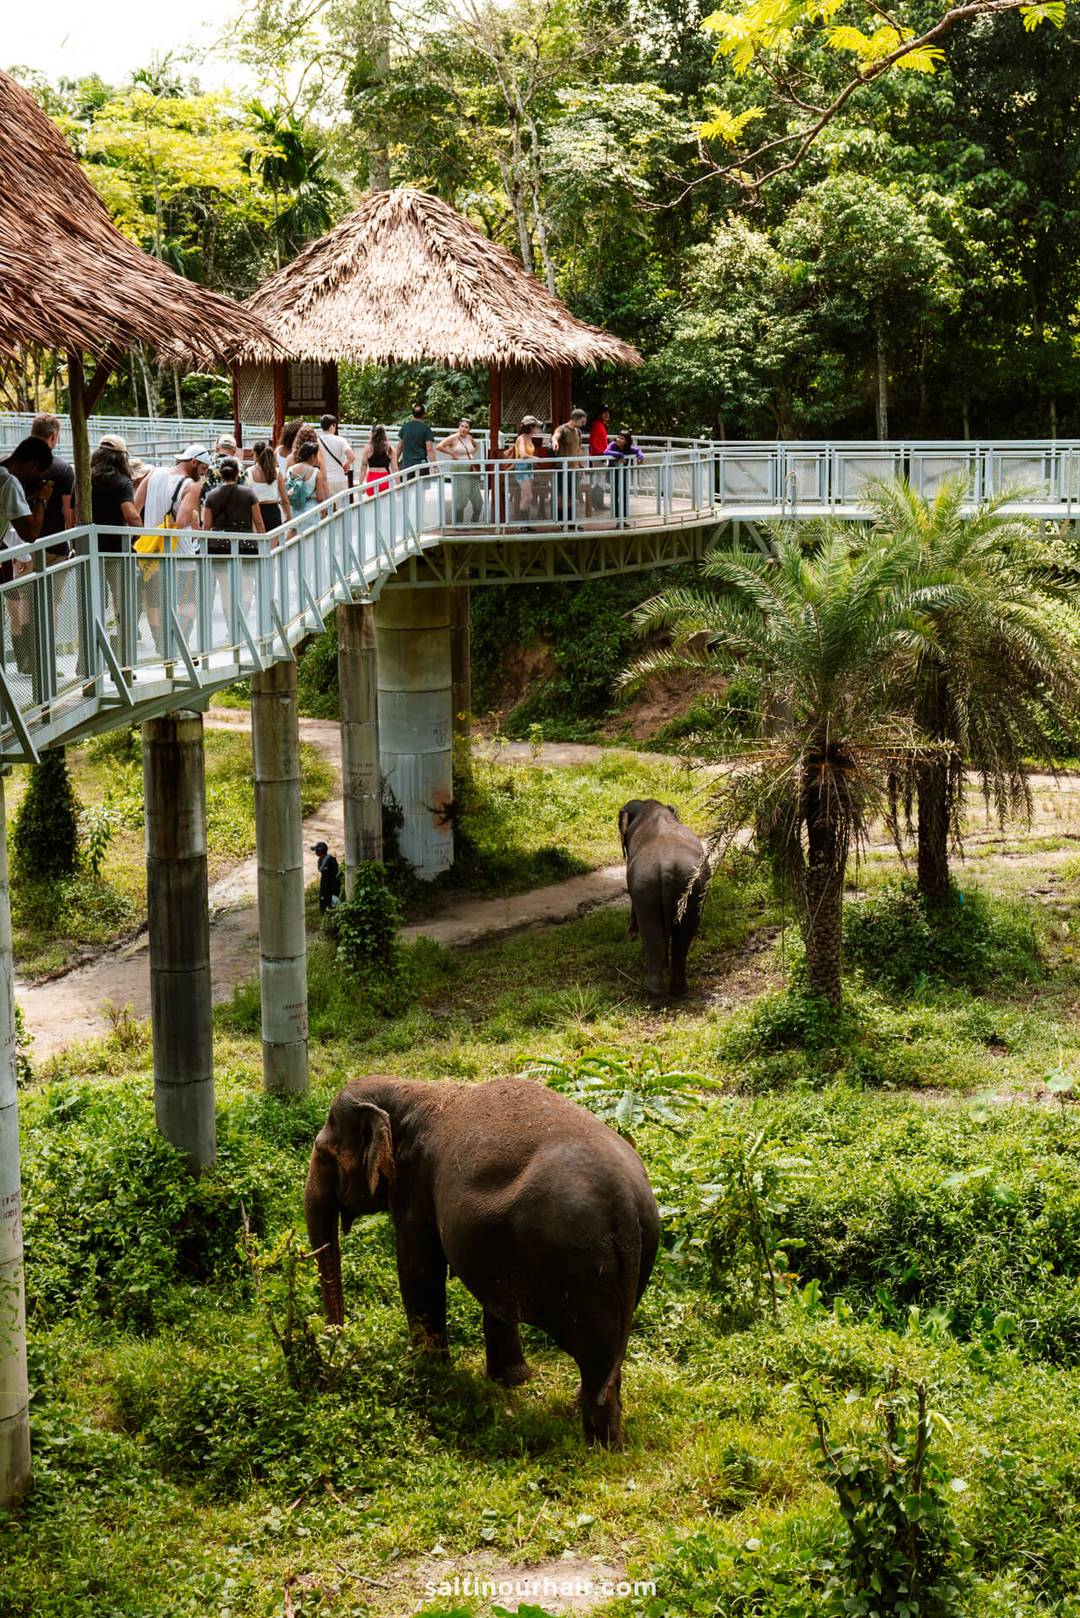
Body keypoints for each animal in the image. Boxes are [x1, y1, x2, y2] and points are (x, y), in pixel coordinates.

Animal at [305, 1075, 660, 1448]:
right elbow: (495, 1293)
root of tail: (624, 1200)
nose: (336, 1339)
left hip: (582, 1265)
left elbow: (419, 1269)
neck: (410, 1090)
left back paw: (601, 1447)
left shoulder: (415, 1184)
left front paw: (429, 1375)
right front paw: (511, 1380)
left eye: (324, 1155)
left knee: (596, 1355)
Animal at [619, 799, 710, 997]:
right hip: (687, 886)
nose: (629, 934)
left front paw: (631, 934)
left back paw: (655, 990)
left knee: (653, 934)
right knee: (682, 937)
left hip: (644, 885)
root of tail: (667, 867)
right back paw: (675, 989)